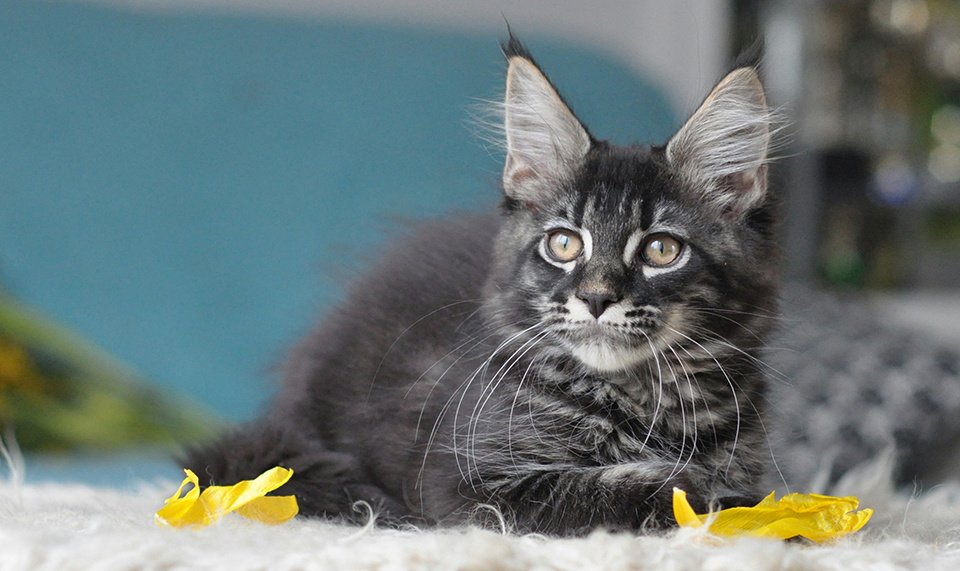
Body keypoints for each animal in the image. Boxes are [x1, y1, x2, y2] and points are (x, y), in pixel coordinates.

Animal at [186, 39, 780, 536]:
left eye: (661, 250)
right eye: (564, 244)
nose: (596, 297)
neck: (643, 400)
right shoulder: (463, 484)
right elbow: (631, 492)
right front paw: (714, 500)